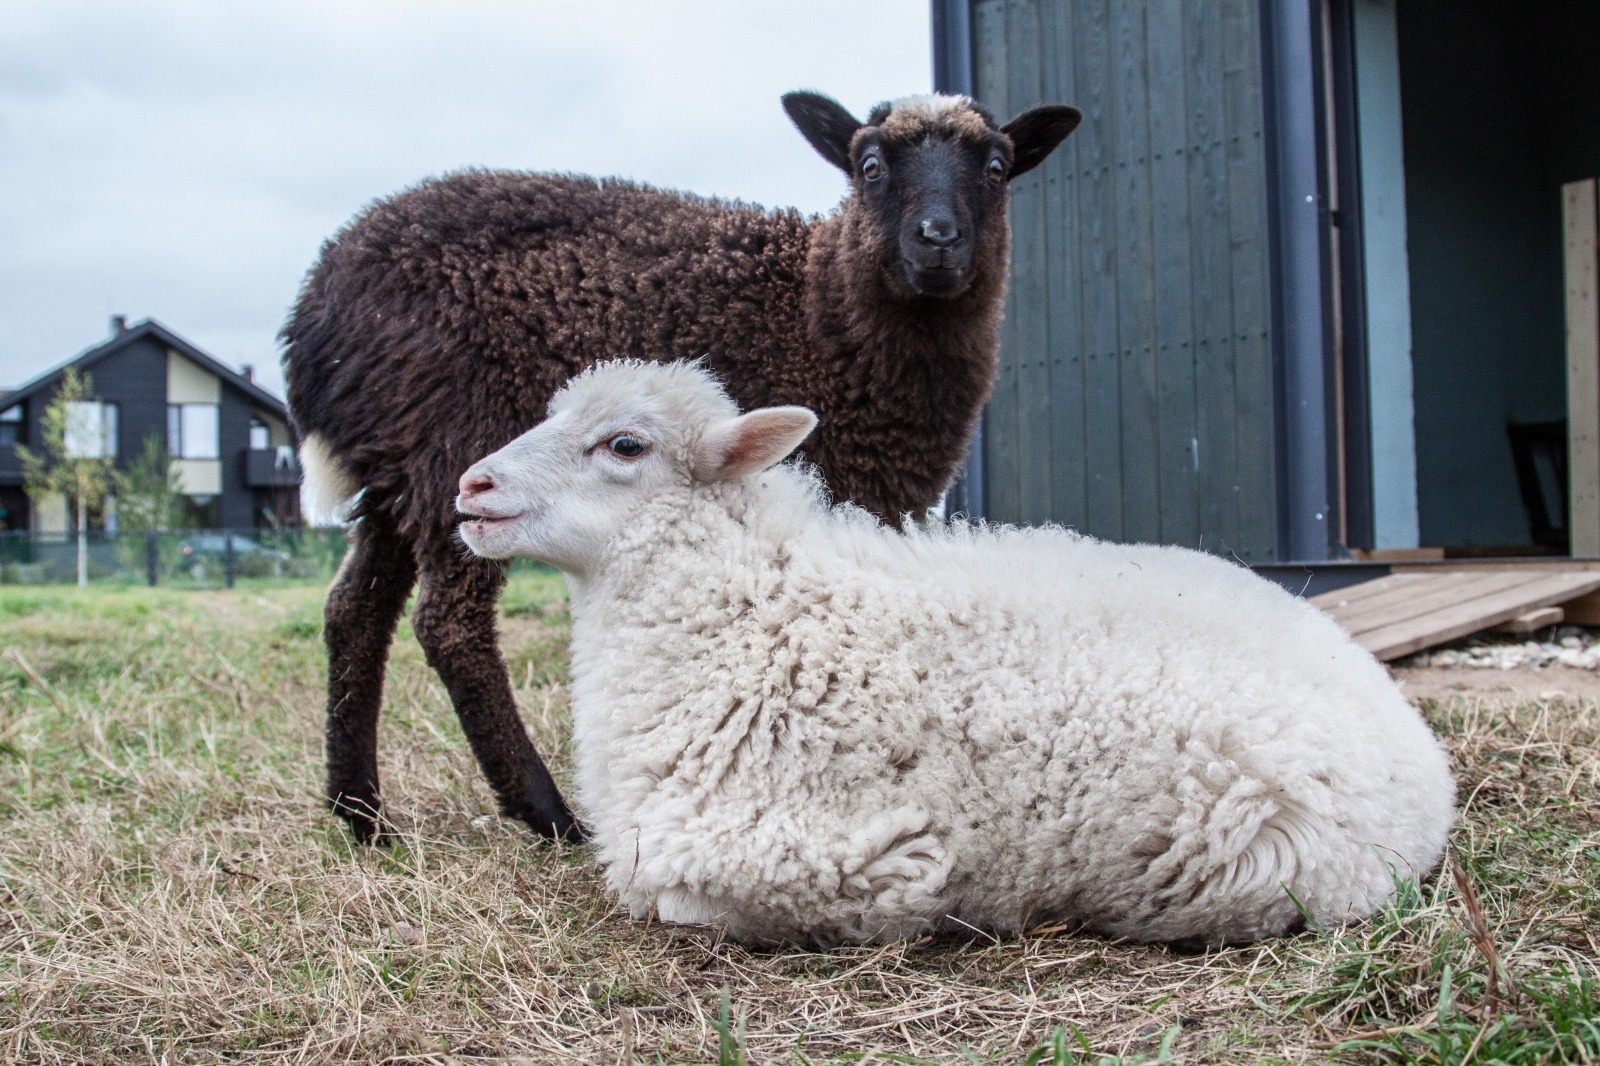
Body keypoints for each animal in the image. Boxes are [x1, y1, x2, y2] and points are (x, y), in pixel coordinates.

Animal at [283, 89, 1082, 845]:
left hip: (397, 466)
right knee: (450, 624)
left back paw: (360, 815)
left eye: (998, 167)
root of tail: (317, 308)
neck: (816, 309)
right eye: (871, 165)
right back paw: (547, 814)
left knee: (353, 611)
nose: (939, 241)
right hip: (454, 441)